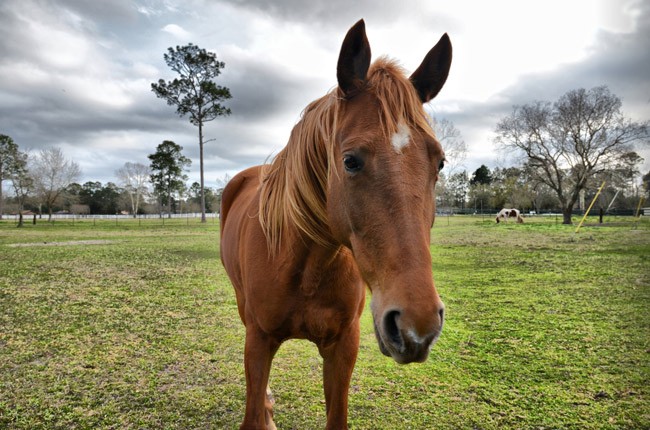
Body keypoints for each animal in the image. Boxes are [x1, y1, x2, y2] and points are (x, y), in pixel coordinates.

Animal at [218, 18, 450, 428]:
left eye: (439, 162)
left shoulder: (343, 346)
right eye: (350, 161)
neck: (306, 265)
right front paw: (264, 410)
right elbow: (253, 407)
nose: (417, 324)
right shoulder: (258, 341)